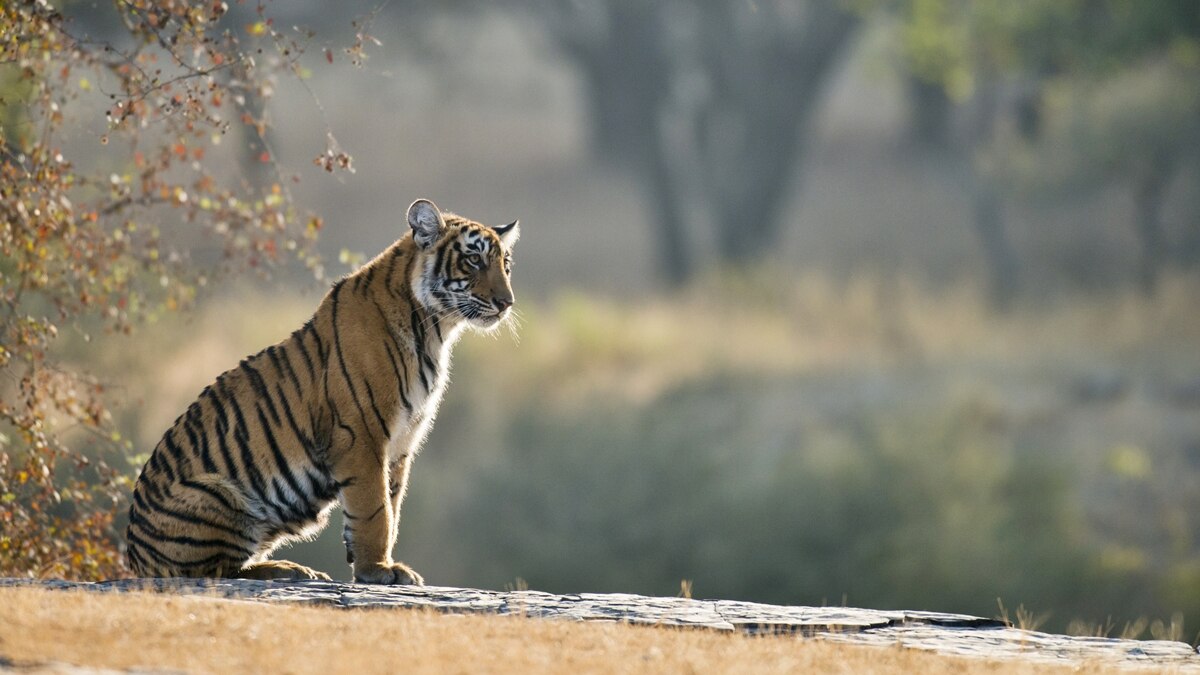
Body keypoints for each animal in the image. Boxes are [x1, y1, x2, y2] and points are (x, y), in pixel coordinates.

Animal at [125, 198, 519, 583]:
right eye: (474, 260)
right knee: (212, 572)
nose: (507, 303)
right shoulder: (361, 434)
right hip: (217, 493)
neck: (436, 328)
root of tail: (134, 558)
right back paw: (287, 570)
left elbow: (391, 507)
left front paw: (376, 564)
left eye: (506, 265)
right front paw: (378, 570)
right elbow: (374, 510)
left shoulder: (403, 442)